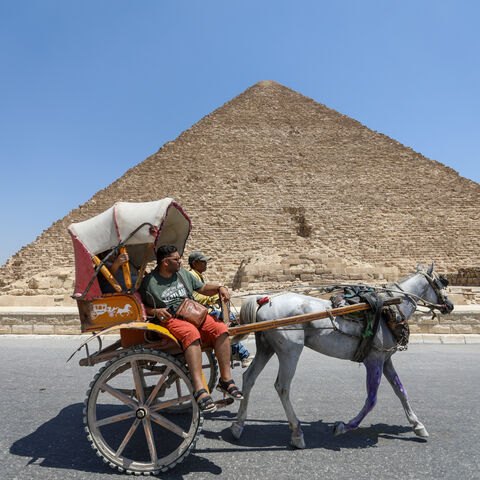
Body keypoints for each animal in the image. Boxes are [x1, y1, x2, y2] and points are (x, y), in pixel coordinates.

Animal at [232, 262, 454, 446]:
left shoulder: (385, 360)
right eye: (441, 282)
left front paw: (417, 425)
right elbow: (372, 399)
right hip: (290, 350)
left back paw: (238, 425)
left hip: (266, 347)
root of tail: (264, 300)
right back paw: (297, 433)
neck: (390, 308)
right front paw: (343, 427)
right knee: (282, 387)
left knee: (249, 377)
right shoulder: (373, 360)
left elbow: (401, 391)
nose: (450, 305)